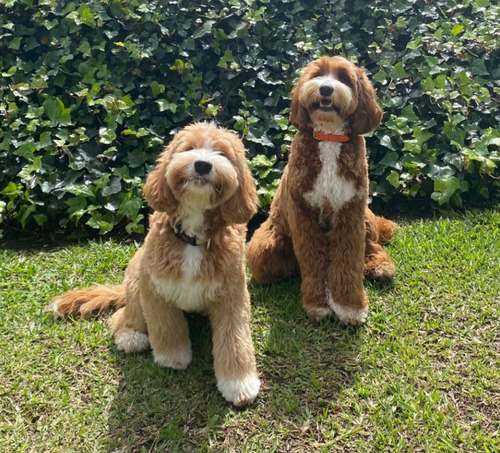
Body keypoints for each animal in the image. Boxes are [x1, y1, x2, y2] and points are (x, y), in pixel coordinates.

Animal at [49, 121, 262, 406]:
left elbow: (235, 340)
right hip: (136, 285)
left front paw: (239, 384)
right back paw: (130, 335)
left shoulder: (232, 296)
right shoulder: (156, 290)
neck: (192, 239)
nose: (202, 165)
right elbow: (166, 328)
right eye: (189, 148)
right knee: (121, 316)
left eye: (222, 153)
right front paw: (172, 358)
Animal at [247, 55, 398, 324]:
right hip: (264, 247)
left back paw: (379, 266)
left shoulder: (350, 212)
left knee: (372, 246)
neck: (329, 137)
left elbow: (349, 261)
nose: (326, 88)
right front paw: (317, 304)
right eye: (317, 75)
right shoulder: (304, 215)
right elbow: (313, 261)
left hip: (365, 218)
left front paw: (349, 307)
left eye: (344, 78)